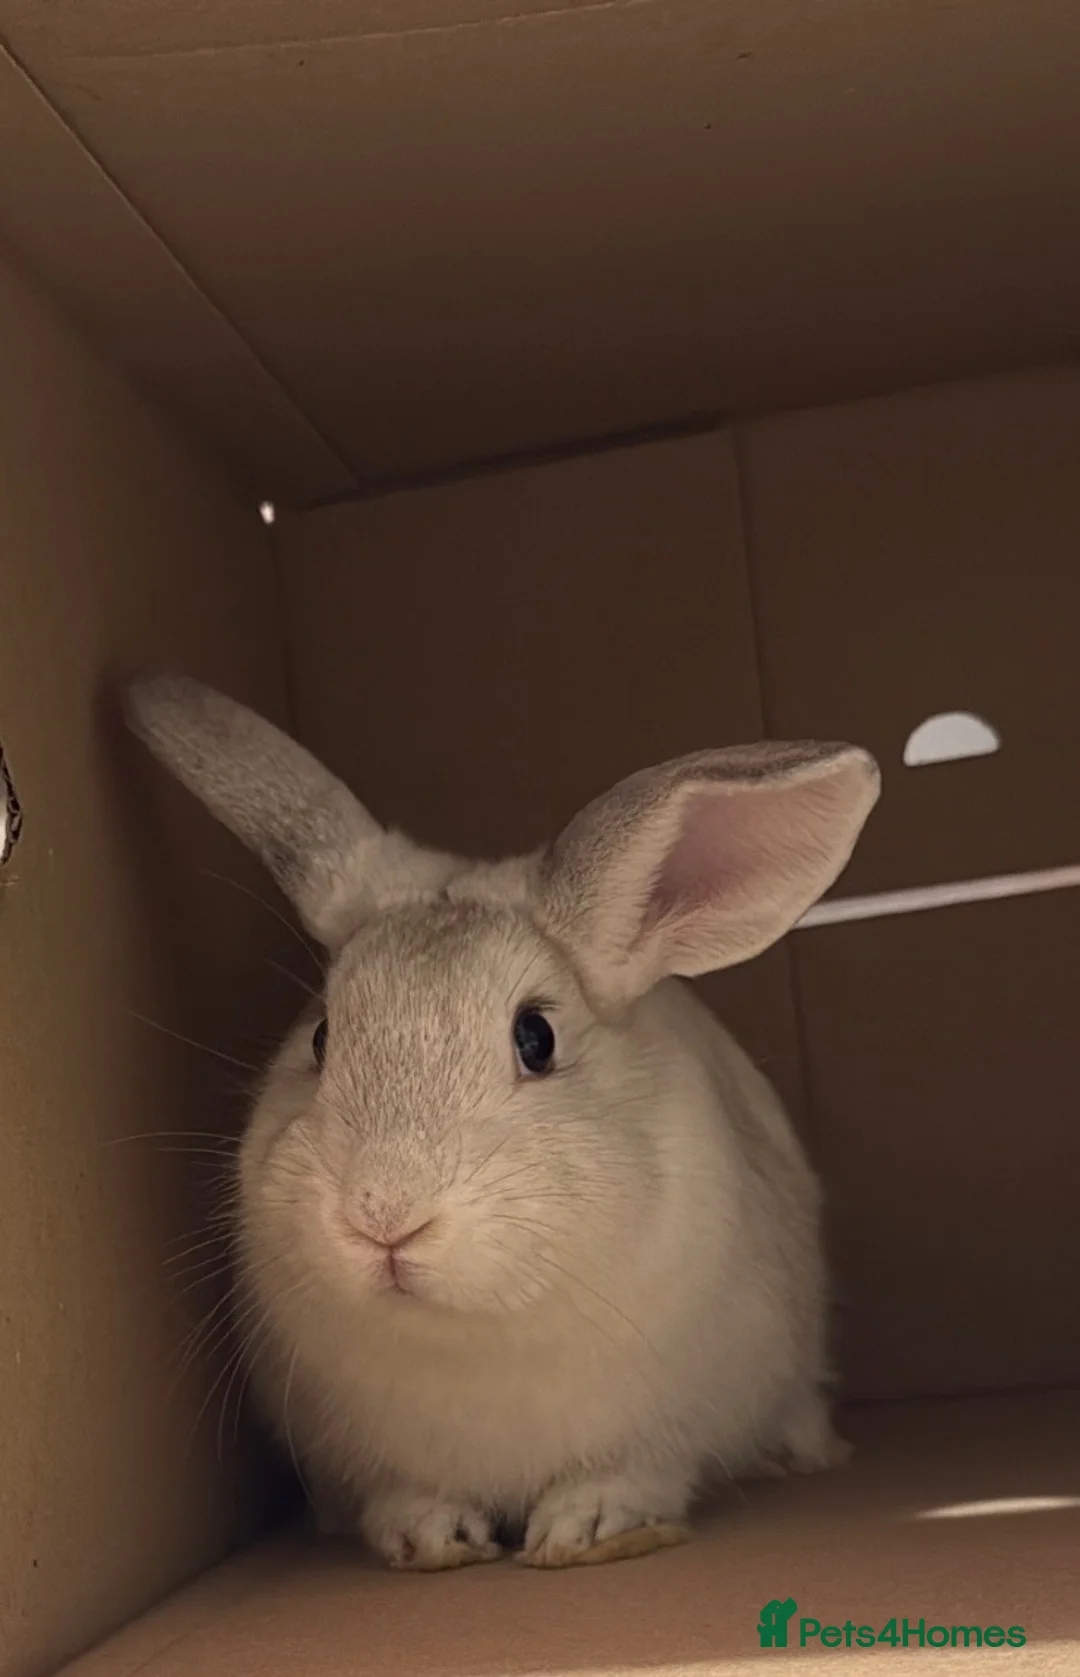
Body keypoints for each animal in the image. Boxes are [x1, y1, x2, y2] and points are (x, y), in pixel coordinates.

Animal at [126, 675, 879, 1572]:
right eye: (321, 1035)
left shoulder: (672, 1428)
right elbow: (404, 1494)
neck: (465, 1334)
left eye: (536, 1037)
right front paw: (428, 1536)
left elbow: (634, 1473)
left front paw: (583, 1526)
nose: (382, 1214)